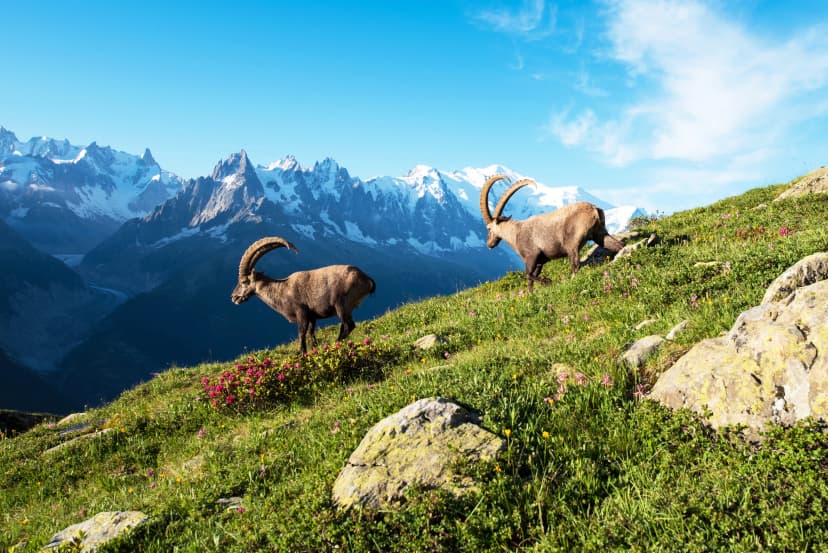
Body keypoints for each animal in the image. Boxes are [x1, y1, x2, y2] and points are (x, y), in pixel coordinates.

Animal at [231, 236, 376, 354]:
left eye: (244, 282)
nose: (233, 297)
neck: (281, 290)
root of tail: (366, 279)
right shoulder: (312, 317)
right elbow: (311, 333)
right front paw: (313, 348)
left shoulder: (302, 313)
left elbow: (301, 334)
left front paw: (302, 353)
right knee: (344, 325)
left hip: (341, 305)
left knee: (349, 325)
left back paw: (336, 342)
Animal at [480, 174, 624, 291]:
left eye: (489, 228)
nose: (489, 244)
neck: (516, 233)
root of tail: (594, 209)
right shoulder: (541, 261)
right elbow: (531, 279)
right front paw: (530, 294)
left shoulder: (532, 256)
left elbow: (528, 274)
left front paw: (547, 281)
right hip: (600, 234)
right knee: (617, 245)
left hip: (572, 243)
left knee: (576, 264)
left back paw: (572, 281)